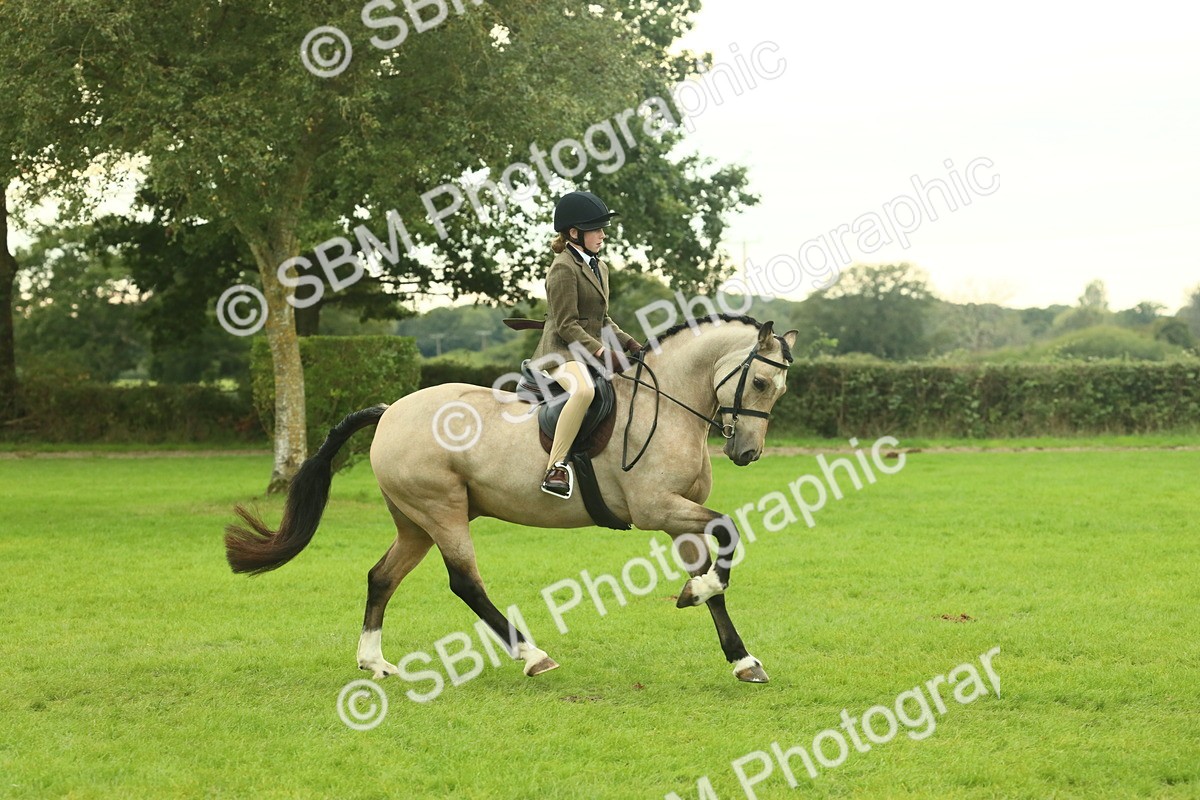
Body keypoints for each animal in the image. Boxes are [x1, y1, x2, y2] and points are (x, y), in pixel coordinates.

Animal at [225, 314, 798, 684]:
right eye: (761, 382)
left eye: (780, 389)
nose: (746, 452)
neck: (668, 403)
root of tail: (390, 411)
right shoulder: (656, 509)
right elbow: (728, 529)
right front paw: (695, 594)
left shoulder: (678, 518)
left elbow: (717, 574)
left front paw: (738, 653)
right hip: (442, 511)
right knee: (465, 583)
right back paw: (533, 655)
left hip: (414, 523)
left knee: (382, 577)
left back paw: (374, 662)